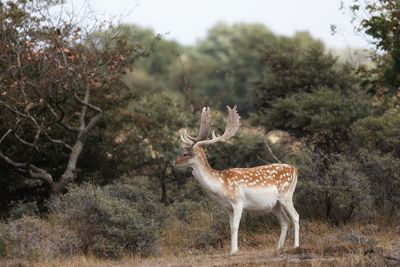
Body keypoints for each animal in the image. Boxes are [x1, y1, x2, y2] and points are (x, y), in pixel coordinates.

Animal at [173, 106, 300, 255]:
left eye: (185, 153)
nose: (173, 162)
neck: (221, 185)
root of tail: (295, 170)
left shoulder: (238, 202)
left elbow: (235, 226)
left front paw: (233, 251)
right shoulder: (228, 207)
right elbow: (230, 227)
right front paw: (232, 249)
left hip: (286, 195)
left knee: (296, 216)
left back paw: (296, 245)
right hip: (275, 205)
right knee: (285, 221)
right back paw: (279, 247)